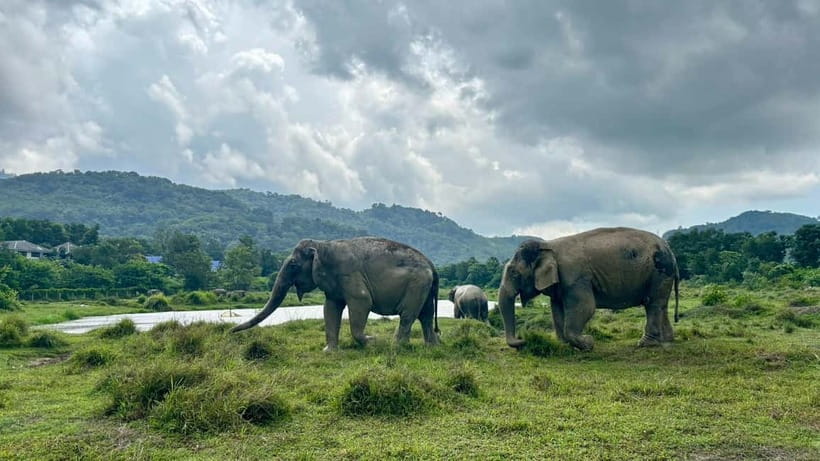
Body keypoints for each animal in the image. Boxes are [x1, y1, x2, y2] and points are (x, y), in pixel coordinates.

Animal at [231, 237, 440, 351]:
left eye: (293, 264)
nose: (229, 331)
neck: (323, 245)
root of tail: (431, 264)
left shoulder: (348, 273)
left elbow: (362, 301)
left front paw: (372, 341)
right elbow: (330, 308)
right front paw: (329, 351)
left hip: (417, 284)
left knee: (408, 314)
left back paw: (394, 346)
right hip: (424, 287)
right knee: (425, 315)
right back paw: (431, 346)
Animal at [498, 227, 679, 351]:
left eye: (514, 273)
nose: (522, 340)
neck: (547, 245)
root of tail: (670, 249)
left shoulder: (575, 277)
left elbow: (585, 307)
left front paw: (588, 343)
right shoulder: (561, 283)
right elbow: (557, 310)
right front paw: (565, 344)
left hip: (659, 271)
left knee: (653, 304)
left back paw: (645, 344)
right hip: (662, 275)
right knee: (661, 304)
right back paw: (667, 340)